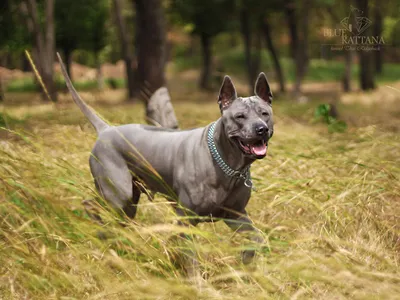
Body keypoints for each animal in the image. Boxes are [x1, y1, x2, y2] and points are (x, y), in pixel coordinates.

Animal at [57, 54, 276, 264]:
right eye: (240, 116)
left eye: (264, 113)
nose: (261, 129)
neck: (228, 165)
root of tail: (106, 129)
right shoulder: (186, 219)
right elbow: (190, 258)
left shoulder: (235, 215)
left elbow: (257, 239)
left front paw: (246, 260)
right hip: (118, 193)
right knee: (89, 204)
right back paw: (102, 232)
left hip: (129, 202)